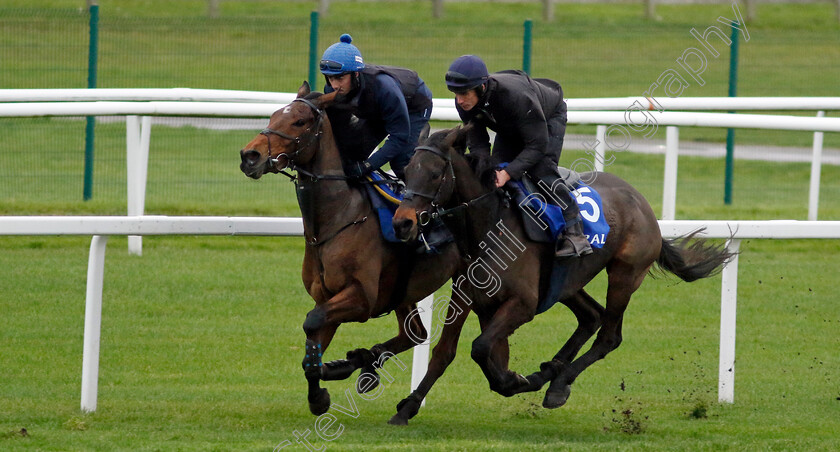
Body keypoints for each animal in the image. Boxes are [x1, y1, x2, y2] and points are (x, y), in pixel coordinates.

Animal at [238, 84, 466, 416]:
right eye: (273, 115)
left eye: (299, 122)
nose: (249, 156)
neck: (337, 218)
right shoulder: (327, 298)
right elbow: (311, 349)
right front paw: (323, 389)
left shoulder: (361, 298)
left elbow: (312, 323)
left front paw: (332, 379)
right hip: (404, 292)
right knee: (415, 333)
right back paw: (367, 363)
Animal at [390, 124, 732, 420]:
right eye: (406, 172)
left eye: (435, 173)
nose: (402, 223)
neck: (491, 223)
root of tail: (643, 204)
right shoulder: (465, 292)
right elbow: (445, 352)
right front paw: (409, 406)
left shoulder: (523, 304)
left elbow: (481, 347)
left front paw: (515, 381)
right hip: (566, 283)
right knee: (592, 316)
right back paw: (551, 371)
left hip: (625, 275)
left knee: (609, 336)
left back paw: (557, 383)